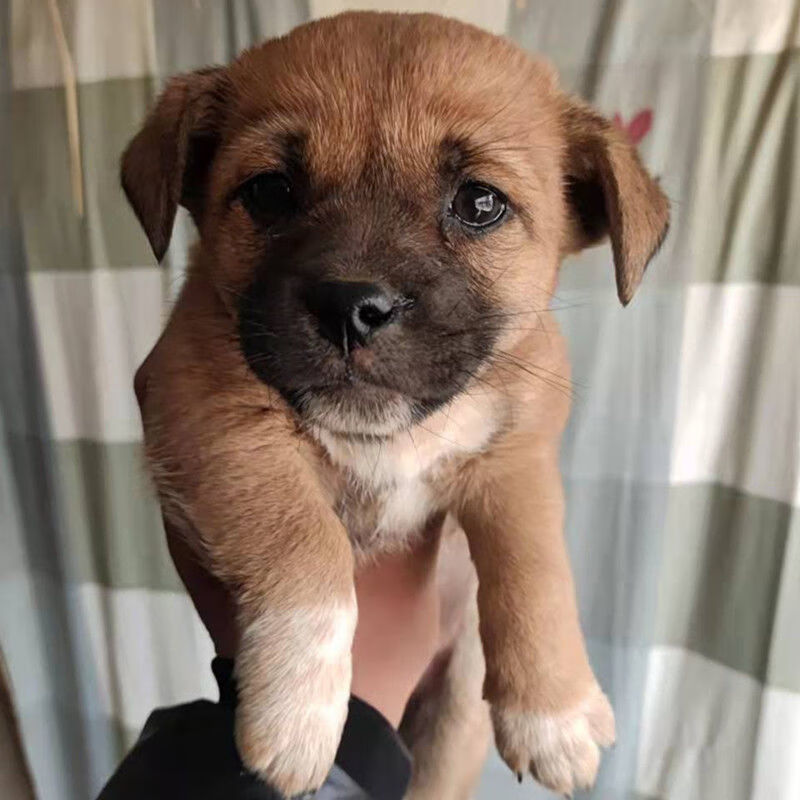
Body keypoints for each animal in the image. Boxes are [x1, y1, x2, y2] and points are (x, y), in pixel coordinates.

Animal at [120, 12, 668, 800]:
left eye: (480, 203)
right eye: (270, 192)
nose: (351, 308)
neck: (390, 436)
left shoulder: (519, 456)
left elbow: (534, 564)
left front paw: (553, 712)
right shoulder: (206, 416)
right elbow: (307, 547)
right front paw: (298, 714)